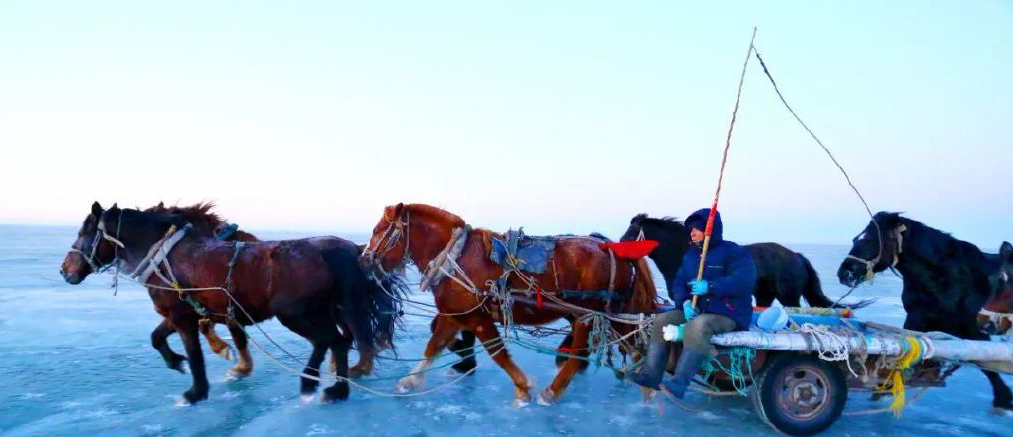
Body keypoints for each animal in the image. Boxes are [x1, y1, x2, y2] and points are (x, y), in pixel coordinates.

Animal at [60, 203, 403, 405]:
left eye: (83, 232)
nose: (65, 269)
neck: (167, 254)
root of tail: (340, 249)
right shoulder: (182, 313)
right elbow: (157, 338)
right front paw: (177, 363)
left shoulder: (184, 318)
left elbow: (196, 354)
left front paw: (196, 391)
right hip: (319, 313)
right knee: (335, 342)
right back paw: (323, 383)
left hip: (297, 314)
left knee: (335, 341)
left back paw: (328, 387)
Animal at [358, 204, 656, 407]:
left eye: (378, 231)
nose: (363, 260)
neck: (456, 256)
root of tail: (612, 247)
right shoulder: (454, 314)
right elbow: (433, 346)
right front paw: (410, 381)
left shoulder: (477, 317)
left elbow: (497, 353)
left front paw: (523, 388)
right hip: (613, 313)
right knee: (635, 347)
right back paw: (647, 388)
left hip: (586, 314)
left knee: (581, 353)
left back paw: (553, 391)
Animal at [834, 213, 1008, 411]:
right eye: (856, 239)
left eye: (871, 239)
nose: (844, 273)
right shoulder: (916, 320)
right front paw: (884, 388)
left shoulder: (976, 330)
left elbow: (988, 365)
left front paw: (1003, 399)